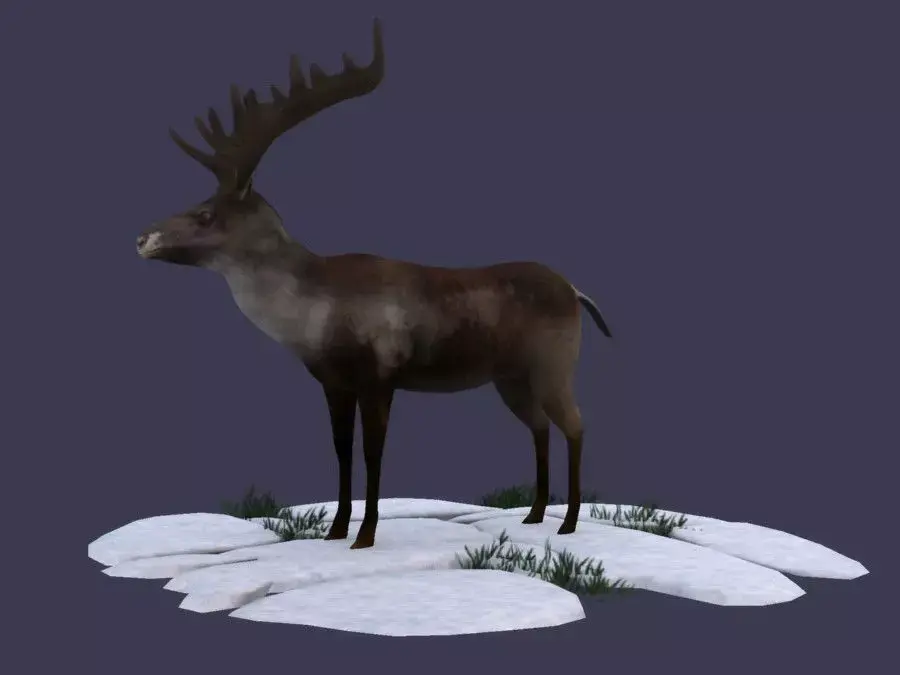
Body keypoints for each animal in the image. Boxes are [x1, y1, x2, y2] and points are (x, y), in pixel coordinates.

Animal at [136, 18, 613, 549]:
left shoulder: (380, 374)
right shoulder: (332, 381)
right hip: (509, 378)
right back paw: (533, 515)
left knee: (576, 424)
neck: (311, 314)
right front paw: (335, 532)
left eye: (205, 214)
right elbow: (341, 450)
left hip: (554, 363)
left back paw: (568, 523)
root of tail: (575, 292)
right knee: (540, 426)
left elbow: (372, 452)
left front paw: (364, 536)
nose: (142, 238)